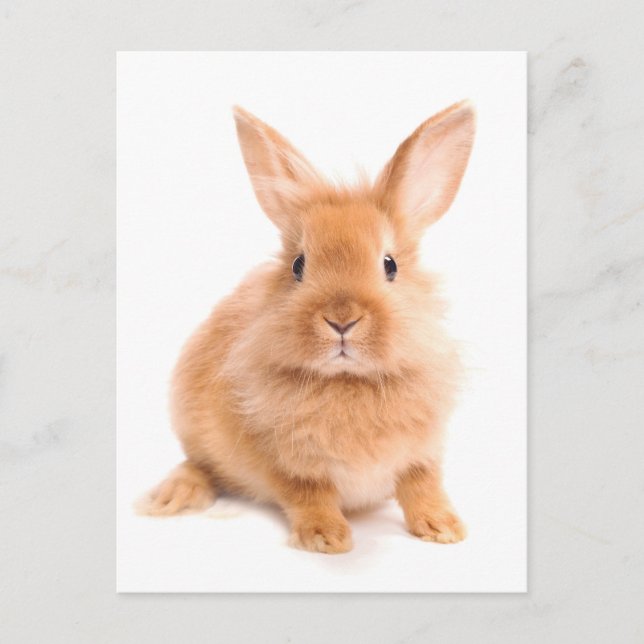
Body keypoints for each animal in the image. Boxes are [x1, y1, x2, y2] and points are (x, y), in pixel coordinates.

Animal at [141, 100, 476, 554]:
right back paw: (171, 495)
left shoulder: (422, 453)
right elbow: (308, 494)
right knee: (200, 465)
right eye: (299, 266)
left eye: (390, 265)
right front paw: (326, 538)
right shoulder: (284, 463)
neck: (348, 382)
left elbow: (422, 486)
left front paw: (444, 529)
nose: (341, 319)